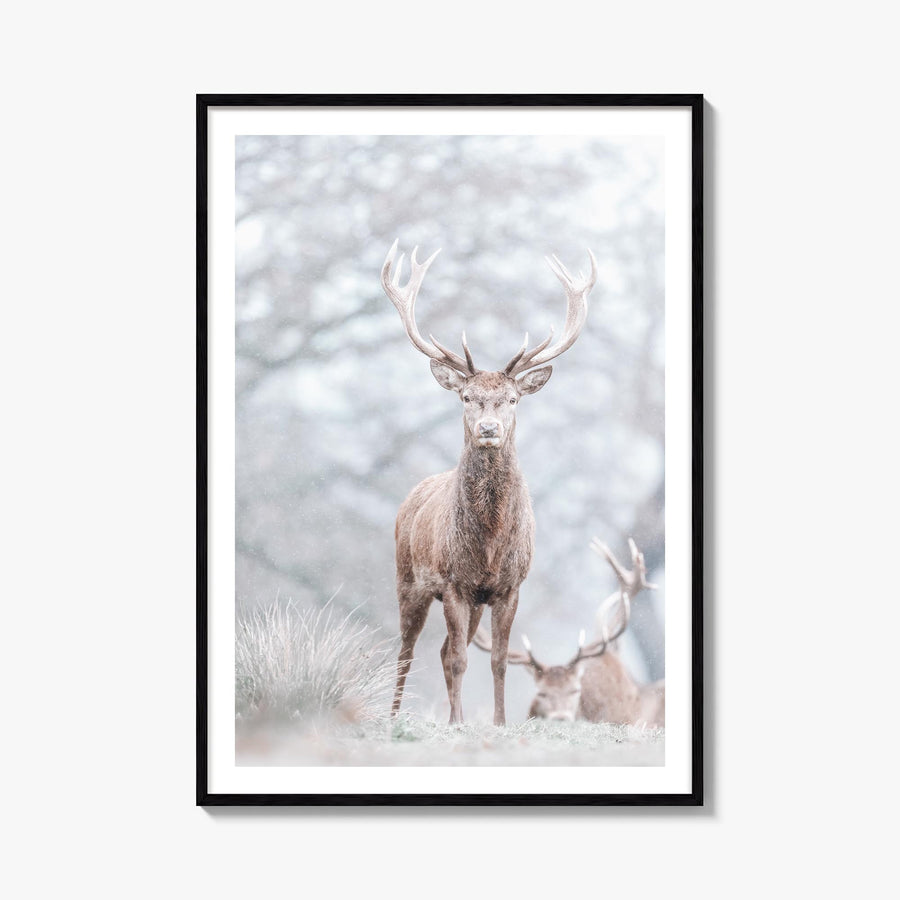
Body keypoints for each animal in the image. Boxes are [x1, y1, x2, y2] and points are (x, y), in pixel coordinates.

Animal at [382, 240, 596, 725]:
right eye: (467, 397)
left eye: (512, 399)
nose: (488, 429)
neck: (490, 541)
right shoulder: (453, 582)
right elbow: (462, 659)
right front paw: (459, 724)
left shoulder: (508, 586)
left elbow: (497, 660)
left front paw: (498, 722)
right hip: (408, 579)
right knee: (408, 651)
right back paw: (396, 714)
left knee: (443, 650)